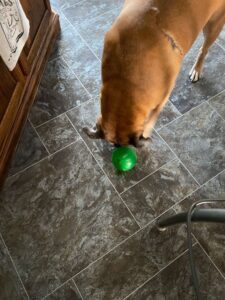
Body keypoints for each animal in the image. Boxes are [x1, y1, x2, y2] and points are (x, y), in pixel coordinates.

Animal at [84, 0, 225, 146]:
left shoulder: (162, 99)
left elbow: (151, 120)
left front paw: (146, 132)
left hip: (214, 25)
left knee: (204, 49)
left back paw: (197, 69)